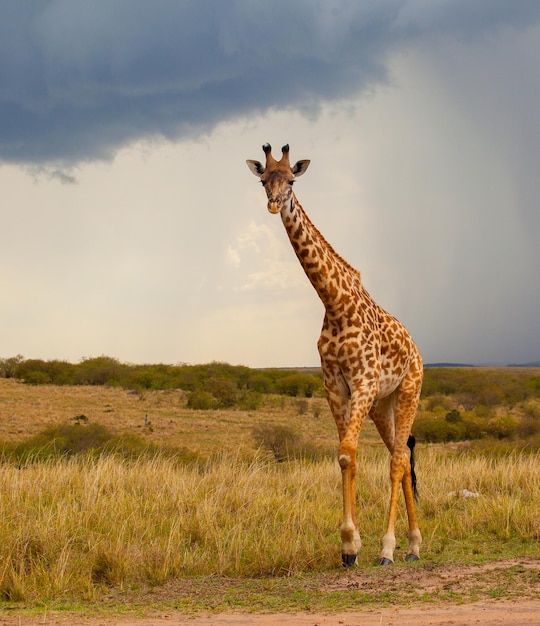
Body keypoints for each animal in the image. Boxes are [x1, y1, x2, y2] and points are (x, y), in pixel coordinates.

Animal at [247, 143, 424, 564]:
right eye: (264, 180)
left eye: (291, 181)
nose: (274, 204)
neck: (335, 303)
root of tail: (415, 346)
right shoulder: (334, 385)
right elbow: (347, 456)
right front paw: (349, 546)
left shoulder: (362, 381)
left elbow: (348, 452)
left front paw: (357, 542)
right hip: (382, 403)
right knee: (399, 453)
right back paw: (413, 545)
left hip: (408, 390)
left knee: (397, 460)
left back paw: (392, 547)